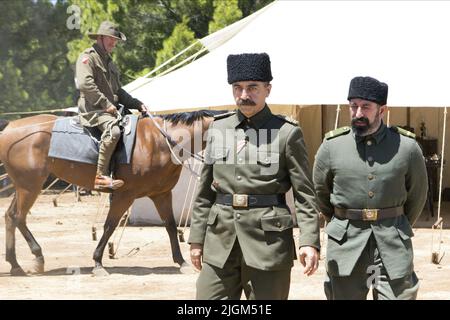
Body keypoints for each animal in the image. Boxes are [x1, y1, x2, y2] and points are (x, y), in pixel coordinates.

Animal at [0, 110, 220, 276]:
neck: (159, 142)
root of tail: (10, 127)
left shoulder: (162, 194)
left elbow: (171, 227)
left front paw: (182, 262)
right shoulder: (125, 195)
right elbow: (109, 226)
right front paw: (98, 262)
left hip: (23, 186)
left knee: (10, 216)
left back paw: (16, 265)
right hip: (30, 186)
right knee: (18, 217)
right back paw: (37, 258)